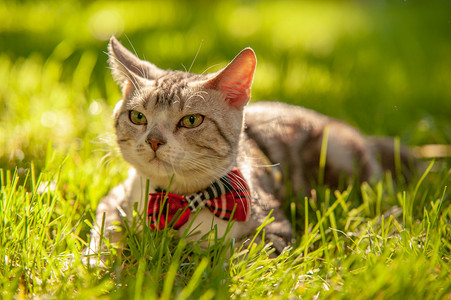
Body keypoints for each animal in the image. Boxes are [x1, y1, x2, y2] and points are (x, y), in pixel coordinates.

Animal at [84, 37, 414, 264]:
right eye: (138, 117)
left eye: (191, 120)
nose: (154, 140)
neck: (180, 200)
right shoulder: (114, 199)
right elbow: (106, 227)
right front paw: (96, 261)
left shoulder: (276, 230)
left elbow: (237, 251)